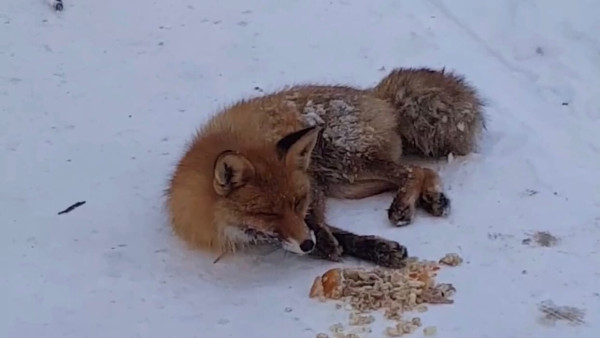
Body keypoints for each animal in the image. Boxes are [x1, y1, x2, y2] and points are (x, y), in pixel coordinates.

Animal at [166, 66, 486, 266]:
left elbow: (316, 222)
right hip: (349, 184)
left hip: (342, 163)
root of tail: (376, 95)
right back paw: (431, 197)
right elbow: (336, 233)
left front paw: (328, 243)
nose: (307, 246)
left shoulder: (312, 184)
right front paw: (374, 250)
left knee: (414, 170)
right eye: (268, 213)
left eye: (296, 203)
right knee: (421, 171)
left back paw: (407, 204)